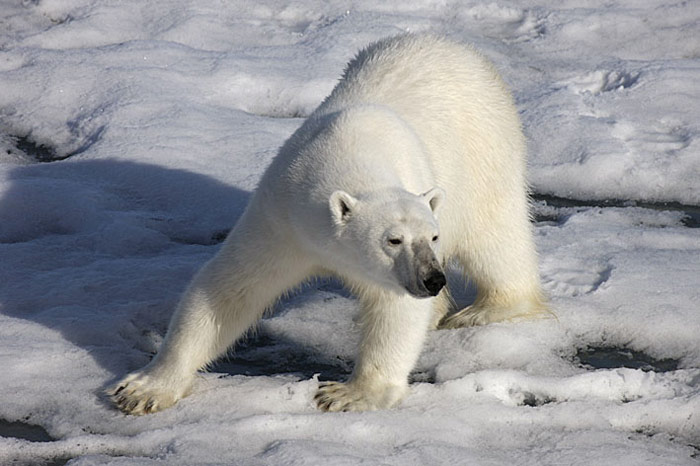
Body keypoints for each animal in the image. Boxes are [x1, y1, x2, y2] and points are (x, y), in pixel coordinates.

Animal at [109, 34, 548, 414]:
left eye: (433, 236)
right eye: (393, 239)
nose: (432, 278)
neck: (348, 150)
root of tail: (454, 46)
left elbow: (394, 309)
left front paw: (348, 394)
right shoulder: (283, 217)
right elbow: (228, 290)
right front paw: (143, 390)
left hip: (484, 149)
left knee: (494, 235)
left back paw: (484, 308)